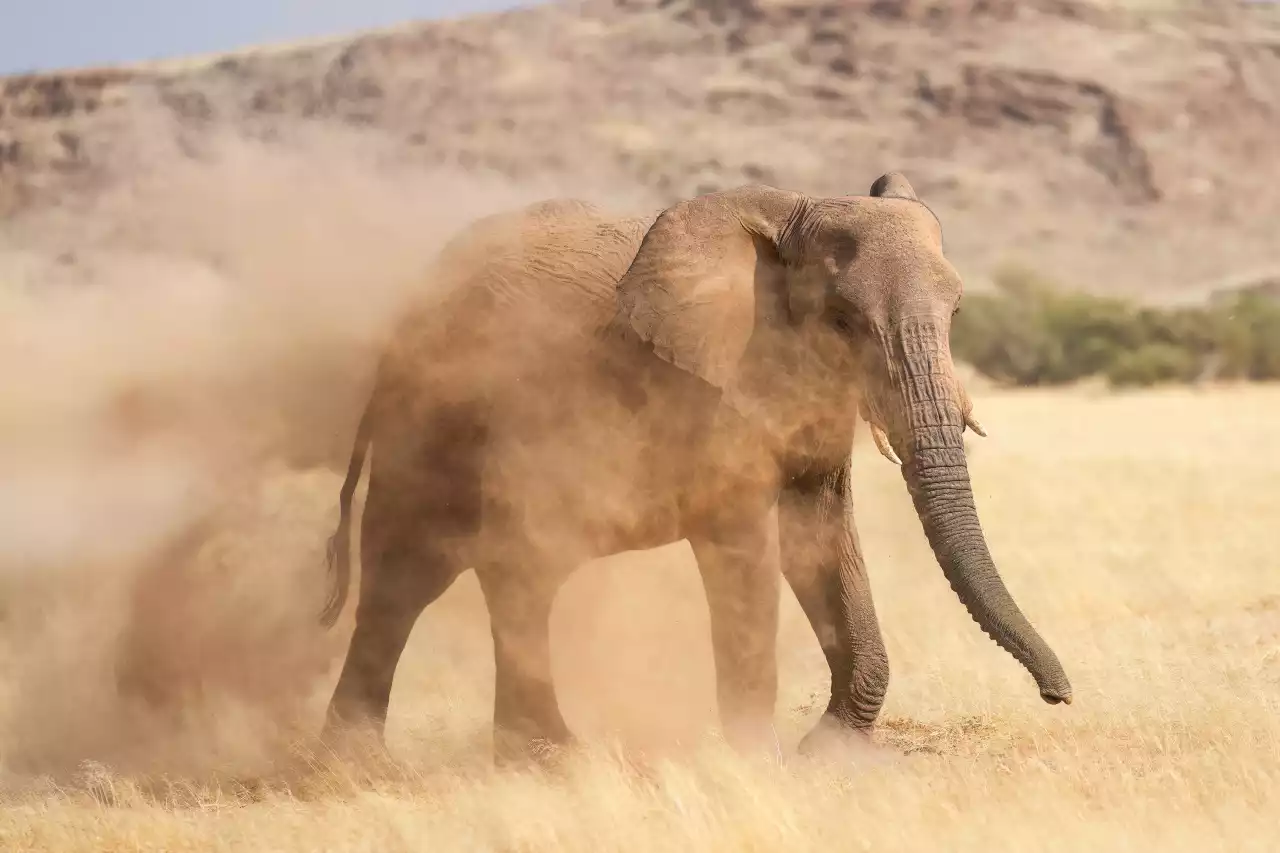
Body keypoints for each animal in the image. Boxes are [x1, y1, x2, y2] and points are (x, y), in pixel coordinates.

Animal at [317, 173, 1073, 765]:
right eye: (842, 319)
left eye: (958, 311)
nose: (1058, 694)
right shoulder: (714, 391)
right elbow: (747, 549)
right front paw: (759, 765)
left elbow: (823, 536)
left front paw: (830, 755)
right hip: (428, 422)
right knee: (407, 572)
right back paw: (366, 766)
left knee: (516, 572)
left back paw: (541, 757)